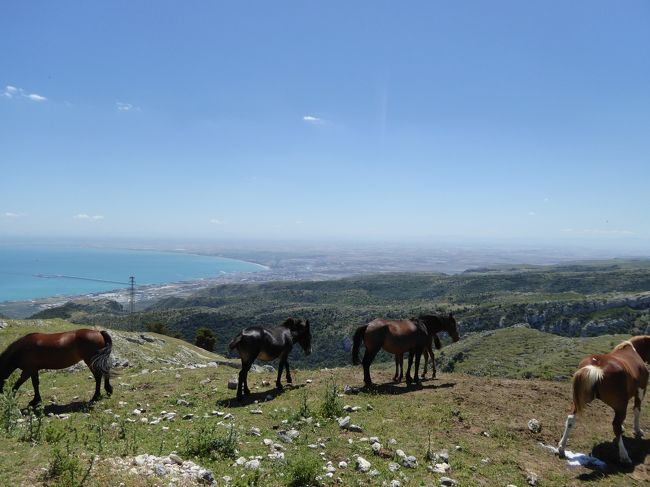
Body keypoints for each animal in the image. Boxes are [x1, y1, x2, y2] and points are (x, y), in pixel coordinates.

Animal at [556, 336, 648, 466]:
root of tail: (596, 367)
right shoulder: (640, 391)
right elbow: (637, 411)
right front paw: (638, 430)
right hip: (621, 404)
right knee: (616, 426)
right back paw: (624, 456)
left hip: (579, 400)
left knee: (571, 419)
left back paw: (561, 447)